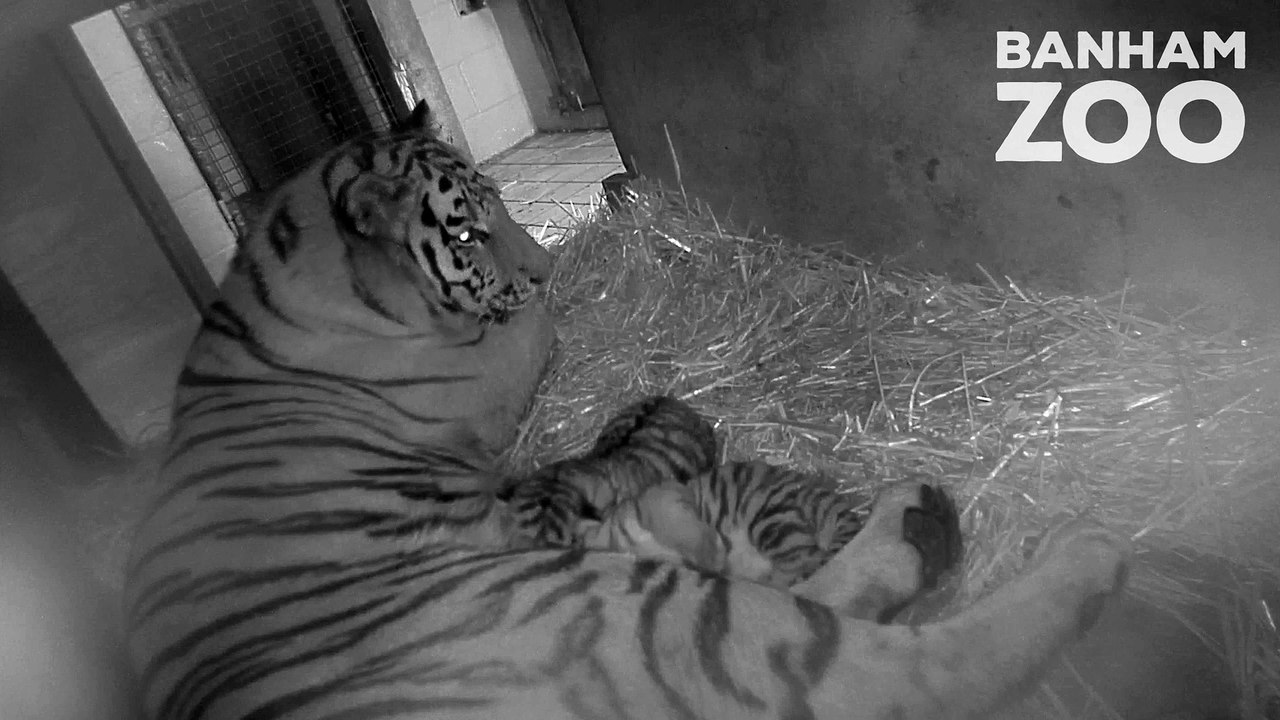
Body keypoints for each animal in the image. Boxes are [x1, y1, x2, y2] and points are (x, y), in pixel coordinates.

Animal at [123, 99, 1133, 720]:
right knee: (897, 665)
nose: (546, 272)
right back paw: (1039, 542)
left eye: (497, 206)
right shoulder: (495, 358)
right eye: (465, 230)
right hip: (633, 614)